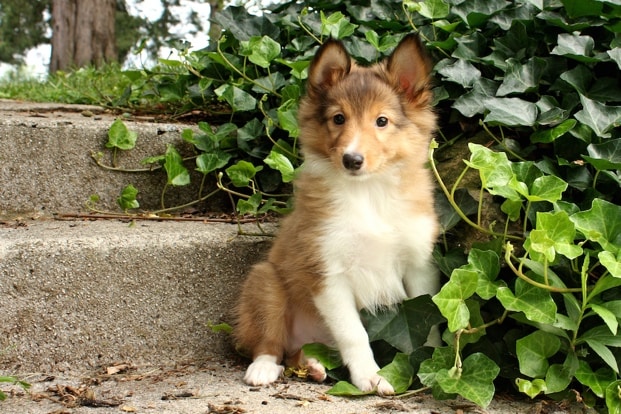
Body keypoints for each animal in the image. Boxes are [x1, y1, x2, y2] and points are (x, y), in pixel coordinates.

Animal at [233, 33, 439, 396]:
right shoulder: (327, 272)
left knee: (297, 354)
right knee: (270, 344)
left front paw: (437, 364)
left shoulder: (419, 265)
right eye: (338, 118)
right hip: (266, 282)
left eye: (381, 121)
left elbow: (429, 318)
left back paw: (314, 366)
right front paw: (370, 377)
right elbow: (354, 334)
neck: (369, 193)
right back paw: (263, 368)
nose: (352, 160)